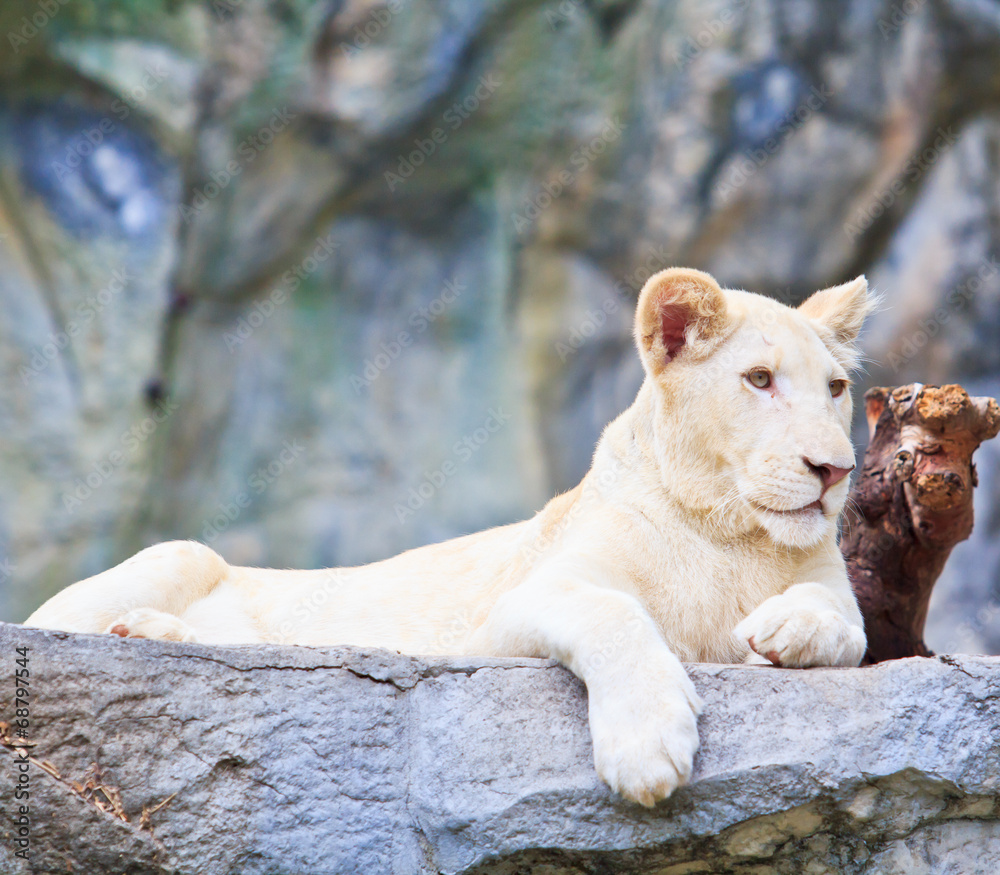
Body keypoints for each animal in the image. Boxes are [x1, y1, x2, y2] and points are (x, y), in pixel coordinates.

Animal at [25, 267, 871, 807]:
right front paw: (647, 748)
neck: (727, 530)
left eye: (835, 388)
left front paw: (783, 628)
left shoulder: (837, 592)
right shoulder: (505, 613)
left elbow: (848, 625)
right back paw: (136, 629)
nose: (834, 469)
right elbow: (615, 614)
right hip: (181, 553)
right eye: (759, 379)